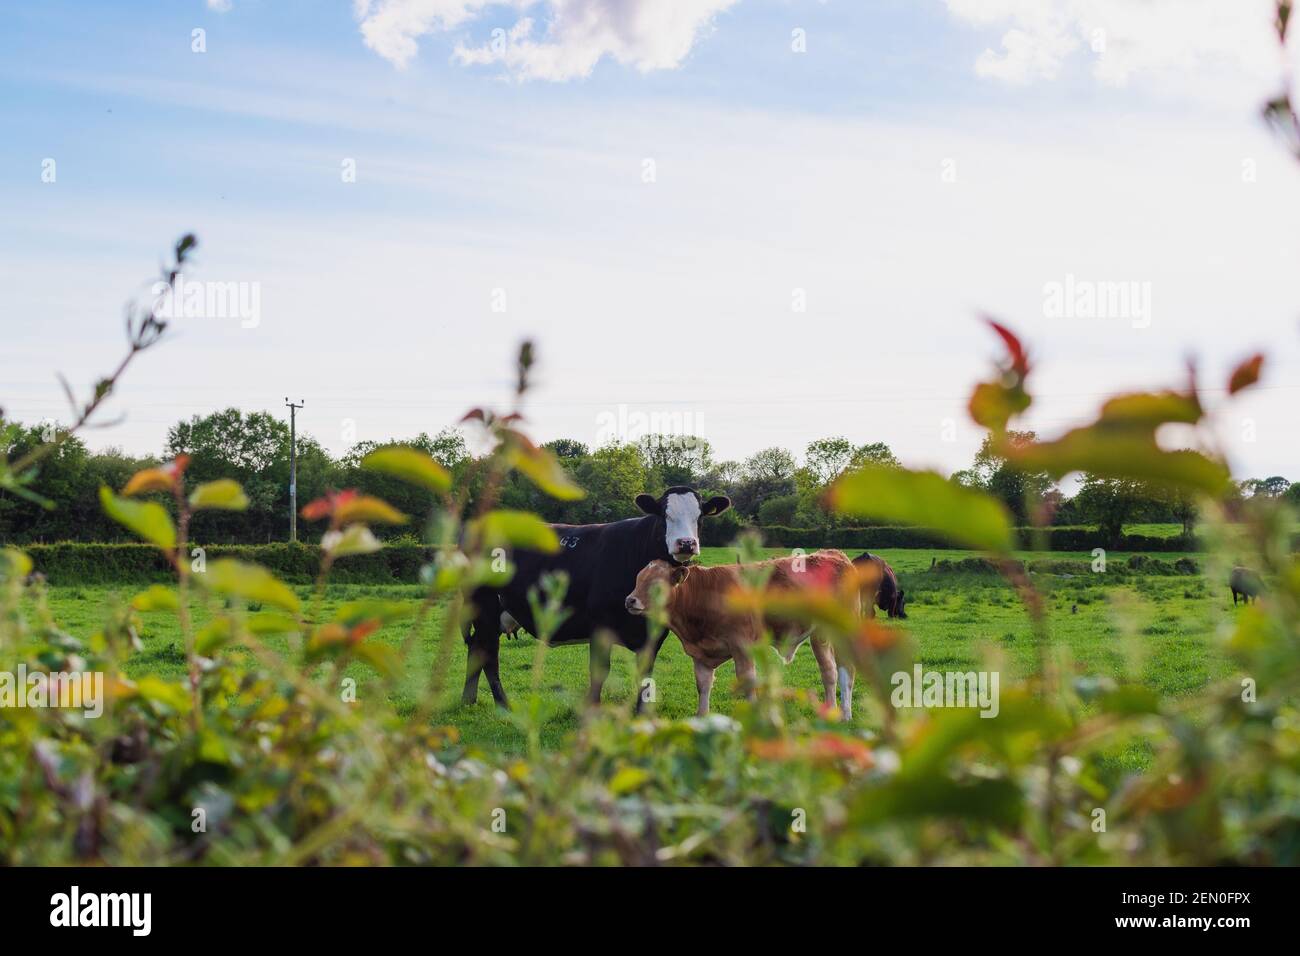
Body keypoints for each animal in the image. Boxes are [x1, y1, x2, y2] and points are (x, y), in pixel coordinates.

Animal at [460, 486, 731, 709]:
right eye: (664, 515)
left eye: (700, 516)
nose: (686, 543)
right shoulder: (600, 624)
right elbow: (600, 670)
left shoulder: (655, 631)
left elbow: (645, 672)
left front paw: (640, 714)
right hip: (485, 608)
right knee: (488, 655)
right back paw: (503, 705)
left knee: (476, 650)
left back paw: (469, 701)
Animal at [623, 549, 861, 720]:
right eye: (637, 579)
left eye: (656, 584)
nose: (630, 600)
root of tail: (834, 554)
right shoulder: (700, 653)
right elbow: (703, 685)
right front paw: (701, 718)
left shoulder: (742, 646)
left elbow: (747, 682)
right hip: (820, 634)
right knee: (829, 671)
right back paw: (830, 712)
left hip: (845, 632)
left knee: (847, 670)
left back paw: (846, 715)